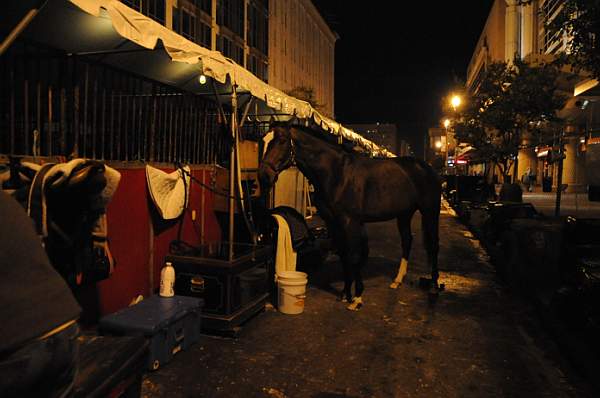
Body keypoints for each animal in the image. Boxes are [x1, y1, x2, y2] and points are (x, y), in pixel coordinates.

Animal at [258, 123, 440, 310]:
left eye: (281, 140)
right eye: (263, 140)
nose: (263, 175)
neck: (337, 173)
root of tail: (426, 167)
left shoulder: (349, 221)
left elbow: (353, 255)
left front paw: (357, 298)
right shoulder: (334, 223)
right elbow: (344, 255)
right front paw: (346, 293)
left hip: (430, 211)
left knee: (433, 245)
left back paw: (434, 286)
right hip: (404, 214)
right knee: (407, 241)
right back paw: (397, 280)